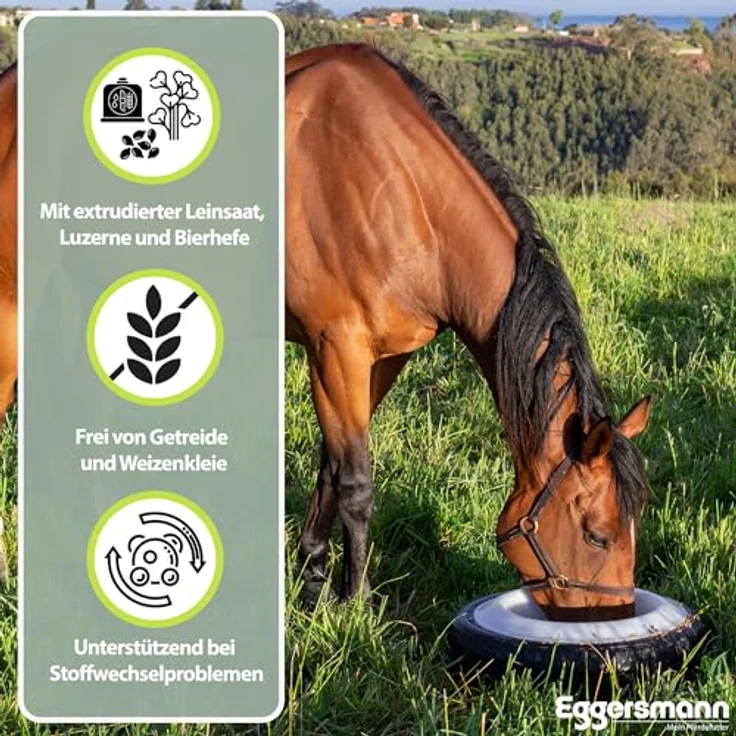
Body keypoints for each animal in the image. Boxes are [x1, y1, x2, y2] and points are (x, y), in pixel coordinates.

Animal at [285, 44, 651, 621]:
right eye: (597, 535)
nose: (613, 623)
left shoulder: (381, 358)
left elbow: (331, 465)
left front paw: (314, 579)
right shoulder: (336, 350)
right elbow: (357, 482)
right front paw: (356, 601)